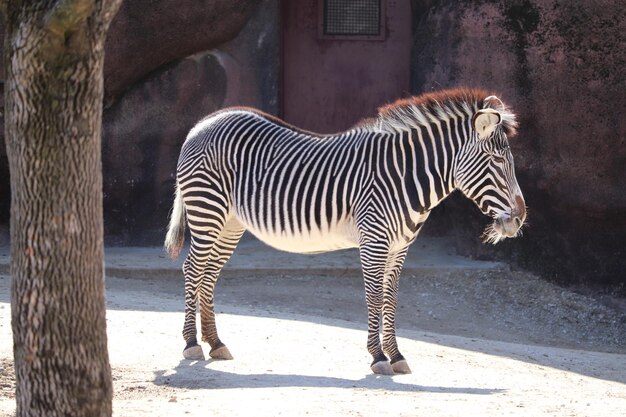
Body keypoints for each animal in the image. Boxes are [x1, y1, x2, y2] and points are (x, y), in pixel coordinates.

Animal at [163, 88, 524, 374]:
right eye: (496, 160)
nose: (520, 219)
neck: (405, 178)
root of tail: (203, 123)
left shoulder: (400, 247)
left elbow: (391, 298)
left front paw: (396, 355)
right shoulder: (374, 241)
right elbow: (375, 296)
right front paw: (378, 357)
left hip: (229, 223)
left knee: (208, 274)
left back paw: (215, 343)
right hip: (207, 211)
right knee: (192, 269)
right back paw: (192, 343)